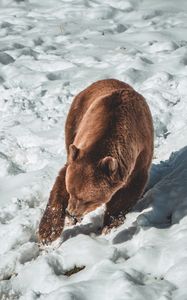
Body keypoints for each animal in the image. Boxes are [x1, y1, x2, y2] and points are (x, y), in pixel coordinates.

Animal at [38, 78, 153, 244]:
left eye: (87, 199)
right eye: (71, 191)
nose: (71, 212)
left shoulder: (139, 158)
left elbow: (126, 193)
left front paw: (109, 225)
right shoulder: (77, 153)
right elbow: (60, 183)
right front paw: (47, 233)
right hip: (75, 119)